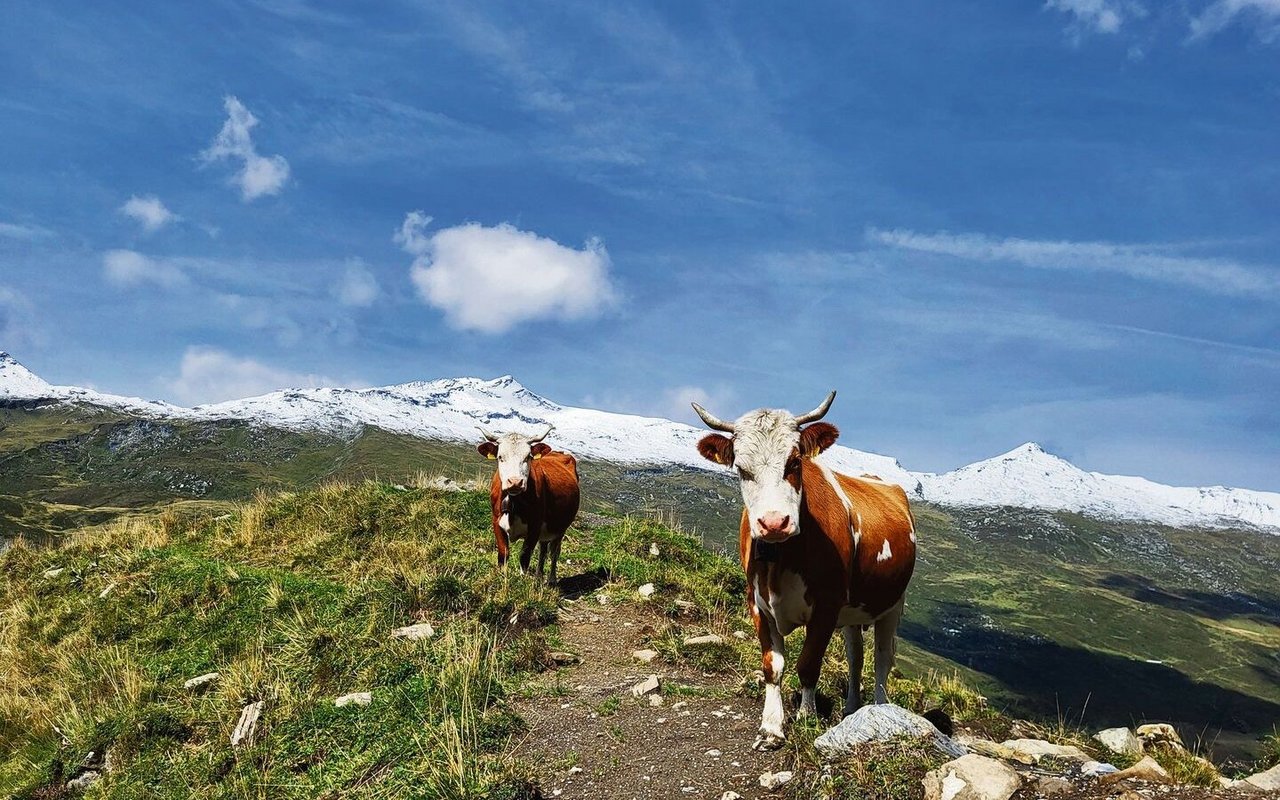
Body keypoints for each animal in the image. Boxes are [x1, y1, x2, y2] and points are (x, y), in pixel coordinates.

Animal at [478, 422, 583, 583]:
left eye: (528, 457)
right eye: (500, 457)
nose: (515, 482)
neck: (514, 502)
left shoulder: (535, 526)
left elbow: (524, 555)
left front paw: (523, 581)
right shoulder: (496, 521)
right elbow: (503, 553)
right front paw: (502, 576)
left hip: (560, 527)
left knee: (554, 551)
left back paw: (551, 580)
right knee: (543, 550)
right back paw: (538, 577)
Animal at [696, 394, 916, 747]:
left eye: (795, 463)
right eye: (741, 469)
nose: (774, 523)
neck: (781, 560)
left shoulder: (826, 604)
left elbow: (809, 663)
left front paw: (807, 716)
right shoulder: (757, 603)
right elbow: (773, 666)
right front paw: (771, 727)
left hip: (893, 603)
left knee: (882, 657)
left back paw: (880, 709)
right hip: (852, 612)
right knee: (856, 657)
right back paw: (851, 709)